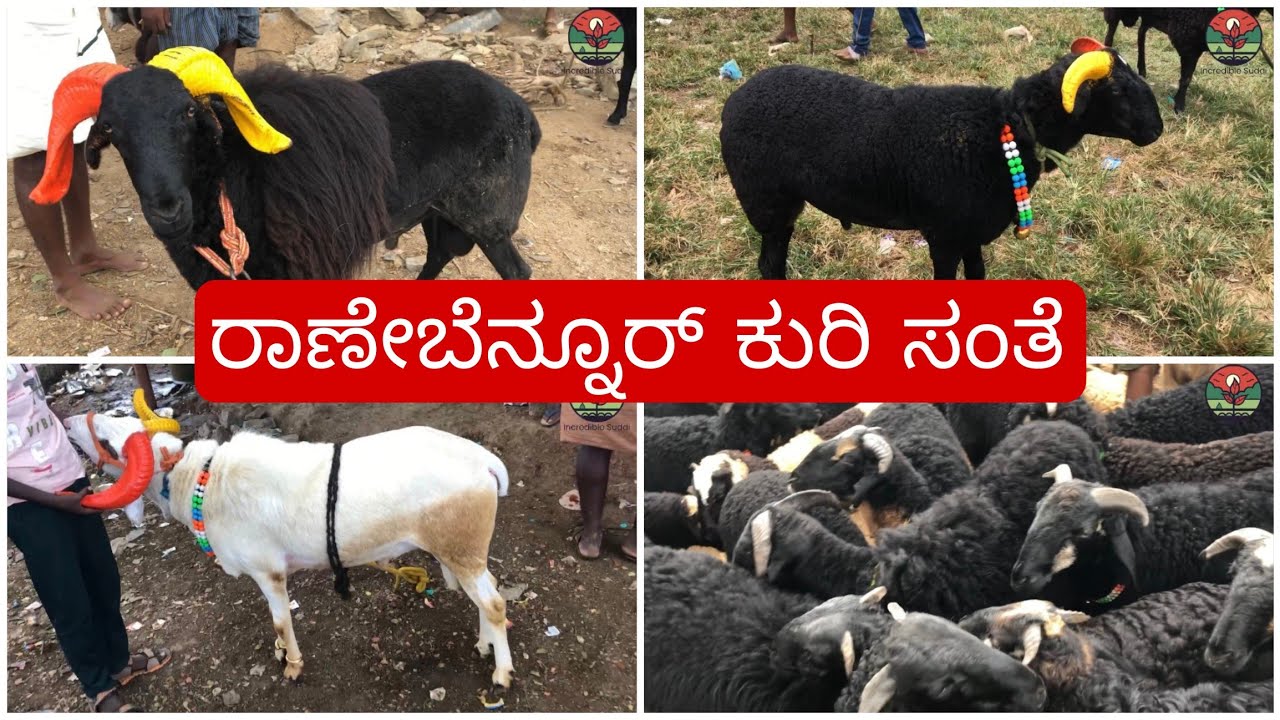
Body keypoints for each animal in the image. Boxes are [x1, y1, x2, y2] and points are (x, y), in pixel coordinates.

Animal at [35, 49, 538, 286]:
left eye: (189, 113)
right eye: (110, 130)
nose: (166, 209)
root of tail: (521, 109)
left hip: (489, 216)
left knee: (517, 272)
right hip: (438, 211)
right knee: (437, 256)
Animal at [86, 412, 515, 689]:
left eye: (110, 446)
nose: (79, 424)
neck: (203, 482)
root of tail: (485, 461)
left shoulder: (268, 572)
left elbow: (280, 621)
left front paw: (291, 665)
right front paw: (280, 653)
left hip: (460, 547)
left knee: (494, 604)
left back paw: (502, 674)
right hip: (463, 552)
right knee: (489, 592)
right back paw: (484, 645)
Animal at [719, 38, 1162, 280]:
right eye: (1116, 91)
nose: (1157, 130)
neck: (1006, 125)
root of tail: (735, 99)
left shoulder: (971, 233)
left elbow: (978, 276)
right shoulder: (944, 236)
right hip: (766, 200)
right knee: (769, 264)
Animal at [1103, 8, 1273, 114]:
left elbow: (1187, 78)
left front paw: (1178, 103)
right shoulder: (1188, 42)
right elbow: (1185, 78)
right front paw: (1179, 106)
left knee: (1141, 32)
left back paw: (1142, 70)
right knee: (1110, 34)